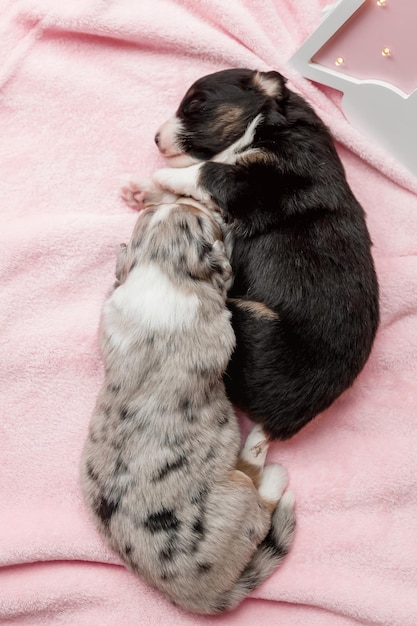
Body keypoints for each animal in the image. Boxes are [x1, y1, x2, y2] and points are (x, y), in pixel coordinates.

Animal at [132, 68, 378, 438]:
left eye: (195, 105)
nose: (156, 139)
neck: (269, 124)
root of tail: (281, 424)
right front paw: (141, 190)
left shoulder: (263, 185)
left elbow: (206, 172)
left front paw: (160, 176)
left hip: (248, 320)